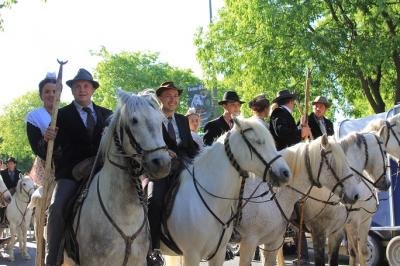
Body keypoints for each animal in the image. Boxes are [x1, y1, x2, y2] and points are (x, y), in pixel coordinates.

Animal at [302, 128, 390, 264]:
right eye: (385, 152)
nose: (387, 183)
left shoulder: (343, 227)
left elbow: (353, 252)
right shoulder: (359, 222)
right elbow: (360, 253)